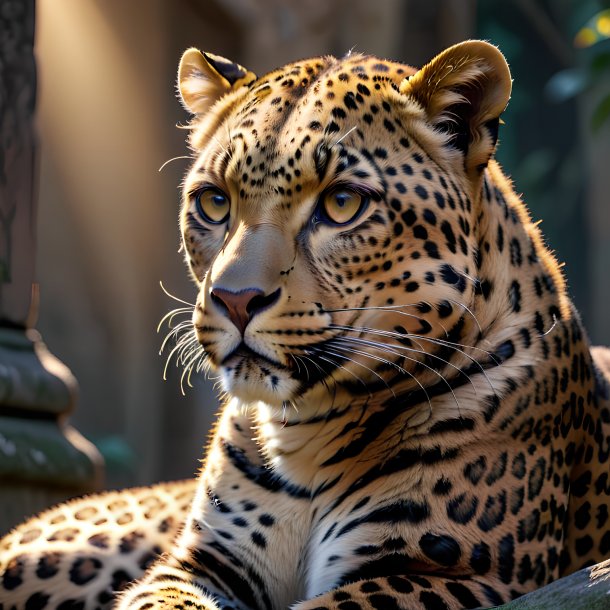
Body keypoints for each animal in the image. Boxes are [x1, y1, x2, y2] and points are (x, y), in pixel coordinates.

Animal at [1, 40, 608, 604]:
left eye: (342, 203)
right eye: (214, 202)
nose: (235, 299)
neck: (304, 432)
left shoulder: (462, 576)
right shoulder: (201, 563)